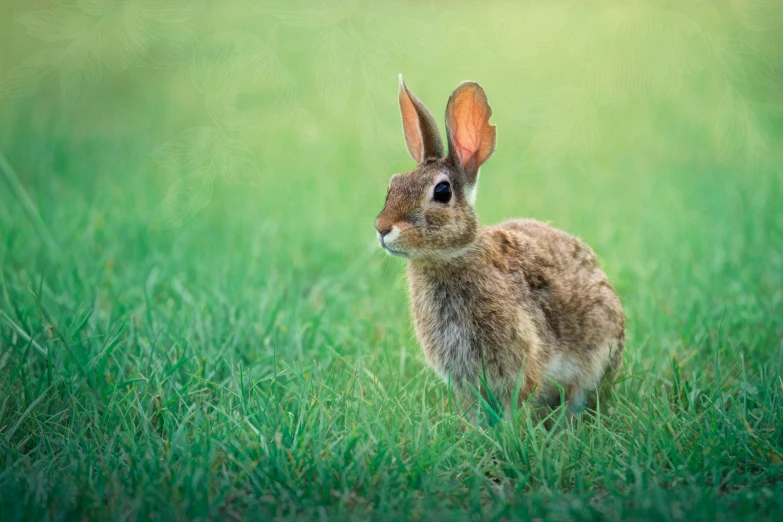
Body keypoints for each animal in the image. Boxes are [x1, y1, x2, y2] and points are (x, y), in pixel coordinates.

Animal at [376, 76, 628, 418]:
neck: (451, 256)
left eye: (442, 192)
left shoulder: (521, 361)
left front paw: (509, 430)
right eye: (393, 184)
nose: (382, 228)